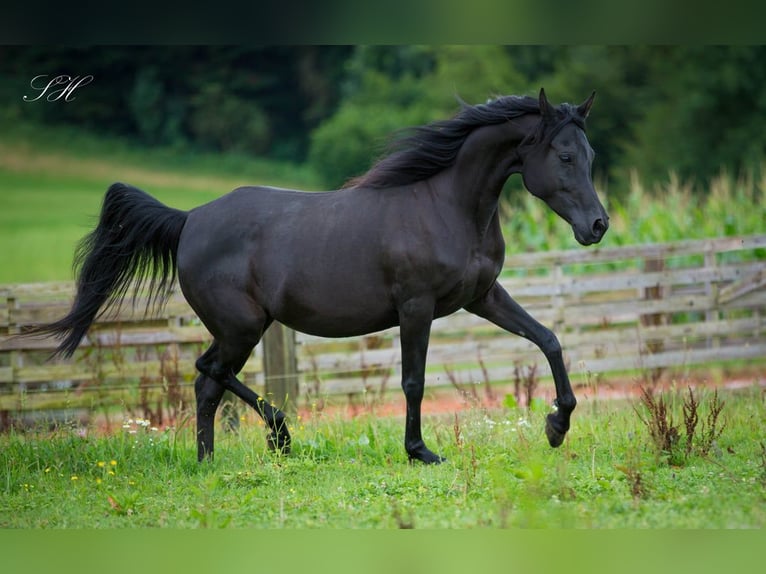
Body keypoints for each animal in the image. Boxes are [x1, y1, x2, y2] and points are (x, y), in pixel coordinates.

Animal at [33, 91, 608, 468]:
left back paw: (212, 461)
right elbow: (414, 380)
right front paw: (421, 452)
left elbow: (549, 340)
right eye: (564, 156)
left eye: (590, 155)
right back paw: (278, 437)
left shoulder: (483, 297)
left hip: (241, 329)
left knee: (206, 383)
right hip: (243, 327)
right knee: (207, 372)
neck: (445, 206)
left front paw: (557, 427)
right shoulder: (416, 307)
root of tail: (189, 219)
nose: (598, 225)